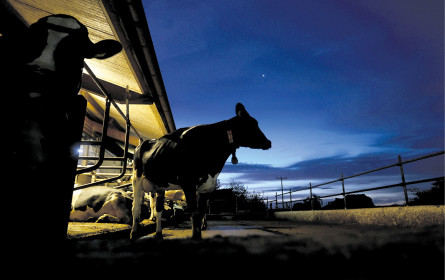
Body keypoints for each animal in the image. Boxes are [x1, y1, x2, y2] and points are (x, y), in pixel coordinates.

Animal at [131, 104, 270, 240]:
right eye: (252, 123)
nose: (269, 142)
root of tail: (143, 143)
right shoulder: (188, 183)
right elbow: (194, 213)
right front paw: (196, 236)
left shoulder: (207, 187)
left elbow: (201, 212)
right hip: (136, 178)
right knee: (136, 208)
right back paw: (133, 233)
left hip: (160, 185)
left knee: (159, 208)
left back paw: (159, 234)